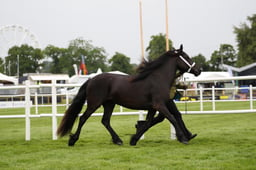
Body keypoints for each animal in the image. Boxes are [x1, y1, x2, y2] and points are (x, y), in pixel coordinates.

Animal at [57, 45, 201, 146]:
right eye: (186, 57)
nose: (198, 70)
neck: (158, 79)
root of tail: (91, 79)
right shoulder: (159, 105)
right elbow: (172, 118)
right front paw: (183, 138)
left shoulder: (153, 107)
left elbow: (149, 122)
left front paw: (134, 139)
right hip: (94, 103)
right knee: (83, 118)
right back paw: (73, 140)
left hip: (109, 104)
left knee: (105, 121)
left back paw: (118, 140)